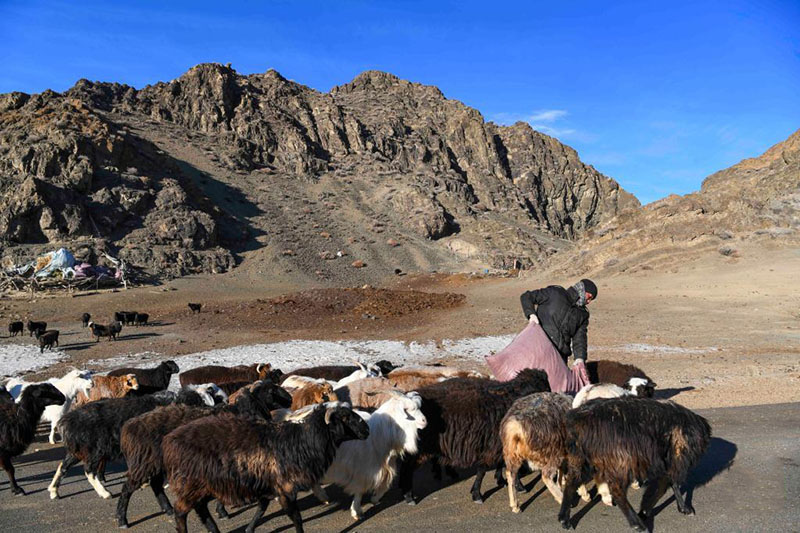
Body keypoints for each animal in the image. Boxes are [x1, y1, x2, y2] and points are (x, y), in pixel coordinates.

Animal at [48, 390, 191, 498]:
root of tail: (67, 421)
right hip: (95, 450)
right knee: (88, 470)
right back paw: (105, 493)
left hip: (77, 452)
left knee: (63, 466)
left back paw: (54, 491)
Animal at [166, 404, 372, 532]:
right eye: (346, 417)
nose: (367, 430)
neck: (302, 442)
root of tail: (170, 440)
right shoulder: (285, 489)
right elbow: (296, 518)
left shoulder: (267, 485)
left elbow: (261, 508)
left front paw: (249, 529)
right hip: (191, 485)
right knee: (180, 511)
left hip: (203, 487)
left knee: (201, 509)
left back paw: (214, 529)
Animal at [398, 368, 552, 504]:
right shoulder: (490, 445)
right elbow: (484, 470)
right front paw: (478, 494)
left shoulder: (499, 444)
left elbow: (501, 464)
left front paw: (501, 480)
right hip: (418, 448)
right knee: (406, 468)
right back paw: (409, 496)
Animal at [556, 396, 712, 528]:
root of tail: (576, 418)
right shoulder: (674, 458)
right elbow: (668, 485)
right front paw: (647, 511)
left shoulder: (665, 461)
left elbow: (667, 484)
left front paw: (648, 510)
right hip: (619, 459)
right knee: (617, 490)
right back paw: (637, 524)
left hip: (582, 458)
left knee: (571, 482)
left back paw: (564, 519)